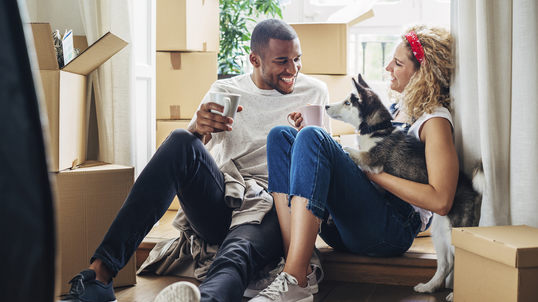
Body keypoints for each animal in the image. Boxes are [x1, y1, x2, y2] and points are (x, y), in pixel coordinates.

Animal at [324, 73, 484, 302]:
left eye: (348, 102)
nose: (326, 106)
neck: (377, 129)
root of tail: (472, 188)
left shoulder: (371, 159)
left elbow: (345, 149)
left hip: (455, 231)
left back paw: (456, 294)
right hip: (440, 232)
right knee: (446, 263)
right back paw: (429, 287)